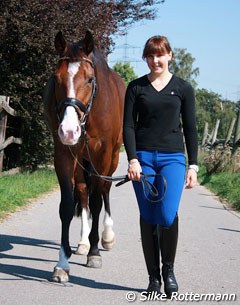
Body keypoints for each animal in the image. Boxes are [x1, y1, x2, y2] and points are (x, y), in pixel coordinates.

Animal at [43, 30, 125, 282]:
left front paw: (95, 252)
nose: (69, 131)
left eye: (89, 79)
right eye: (56, 78)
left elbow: (98, 200)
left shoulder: (104, 154)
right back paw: (82, 242)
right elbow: (68, 206)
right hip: (81, 160)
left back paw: (105, 237)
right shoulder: (63, 154)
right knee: (82, 191)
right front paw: (62, 264)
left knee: (104, 191)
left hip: (112, 156)